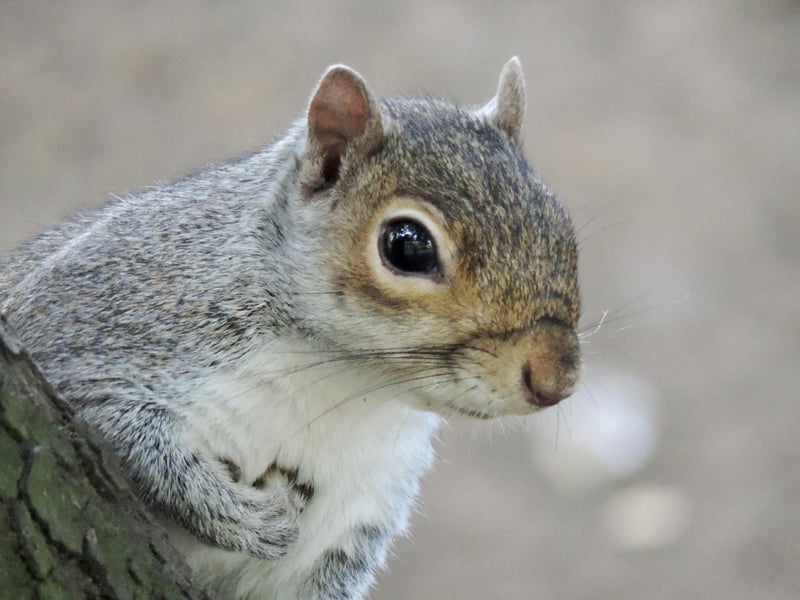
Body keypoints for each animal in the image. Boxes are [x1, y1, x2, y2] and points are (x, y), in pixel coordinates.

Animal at [0, 57, 580, 600]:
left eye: (562, 224)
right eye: (407, 245)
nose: (556, 380)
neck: (341, 385)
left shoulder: (354, 525)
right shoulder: (95, 320)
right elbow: (109, 416)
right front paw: (245, 516)